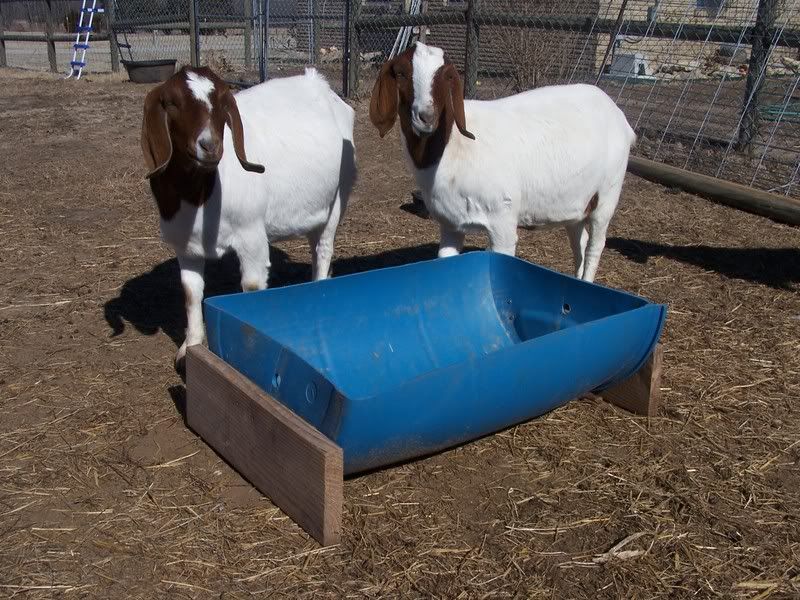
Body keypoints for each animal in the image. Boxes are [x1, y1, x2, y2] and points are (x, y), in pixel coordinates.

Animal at [141, 65, 356, 369]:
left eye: (221, 104)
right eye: (172, 103)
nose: (210, 145)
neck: (200, 193)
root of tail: (319, 83)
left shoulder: (251, 235)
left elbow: (252, 286)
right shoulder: (186, 245)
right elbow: (192, 293)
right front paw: (189, 349)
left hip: (338, 196)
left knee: (324, 249)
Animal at [369, 42, 636, 282]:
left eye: (447, 76)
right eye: (401, 73)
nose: (426, 116)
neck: (454, 146)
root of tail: (619, 116)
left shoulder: (502, 220)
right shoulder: (450, 225)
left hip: (608, 193)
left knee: (594, 246)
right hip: (578, 202)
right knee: (579, 243)